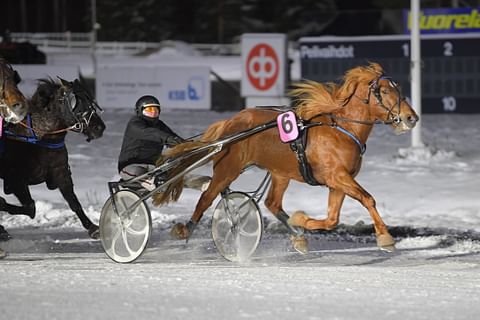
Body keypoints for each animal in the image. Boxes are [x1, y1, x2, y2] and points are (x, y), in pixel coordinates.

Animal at [0, 77, 106, 238]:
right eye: (76, 101)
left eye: (90, 100)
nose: (99, 127)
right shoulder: (15, 180)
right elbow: (30, 208)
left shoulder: (60, 173)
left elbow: (74, 202)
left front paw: (92, 227)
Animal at [156, 62, 418, 252]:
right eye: (385, 91)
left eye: (399, 89)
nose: (411, 118)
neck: (342, 130)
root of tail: (231, 122)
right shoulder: (336, 177)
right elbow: (368, 199)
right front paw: (385, 238)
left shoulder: (339, 182)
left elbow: (332, 219)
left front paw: (299, 221)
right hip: (227, 170)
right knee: (206, 198)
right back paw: (185, 229)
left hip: (280, 173)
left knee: (272, 203)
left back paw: (297, 235)